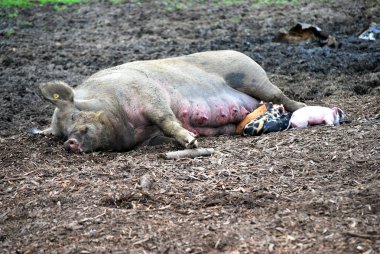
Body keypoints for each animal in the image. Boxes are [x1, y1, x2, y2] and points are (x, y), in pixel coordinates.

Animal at [35, 50, 306, 152]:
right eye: (61, 134)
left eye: (73, 114)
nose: (69, 142)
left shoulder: (148, 93)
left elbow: (166, 119)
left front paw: (192, 142)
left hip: (251, 77)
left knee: (280, 96)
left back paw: (303, 108)